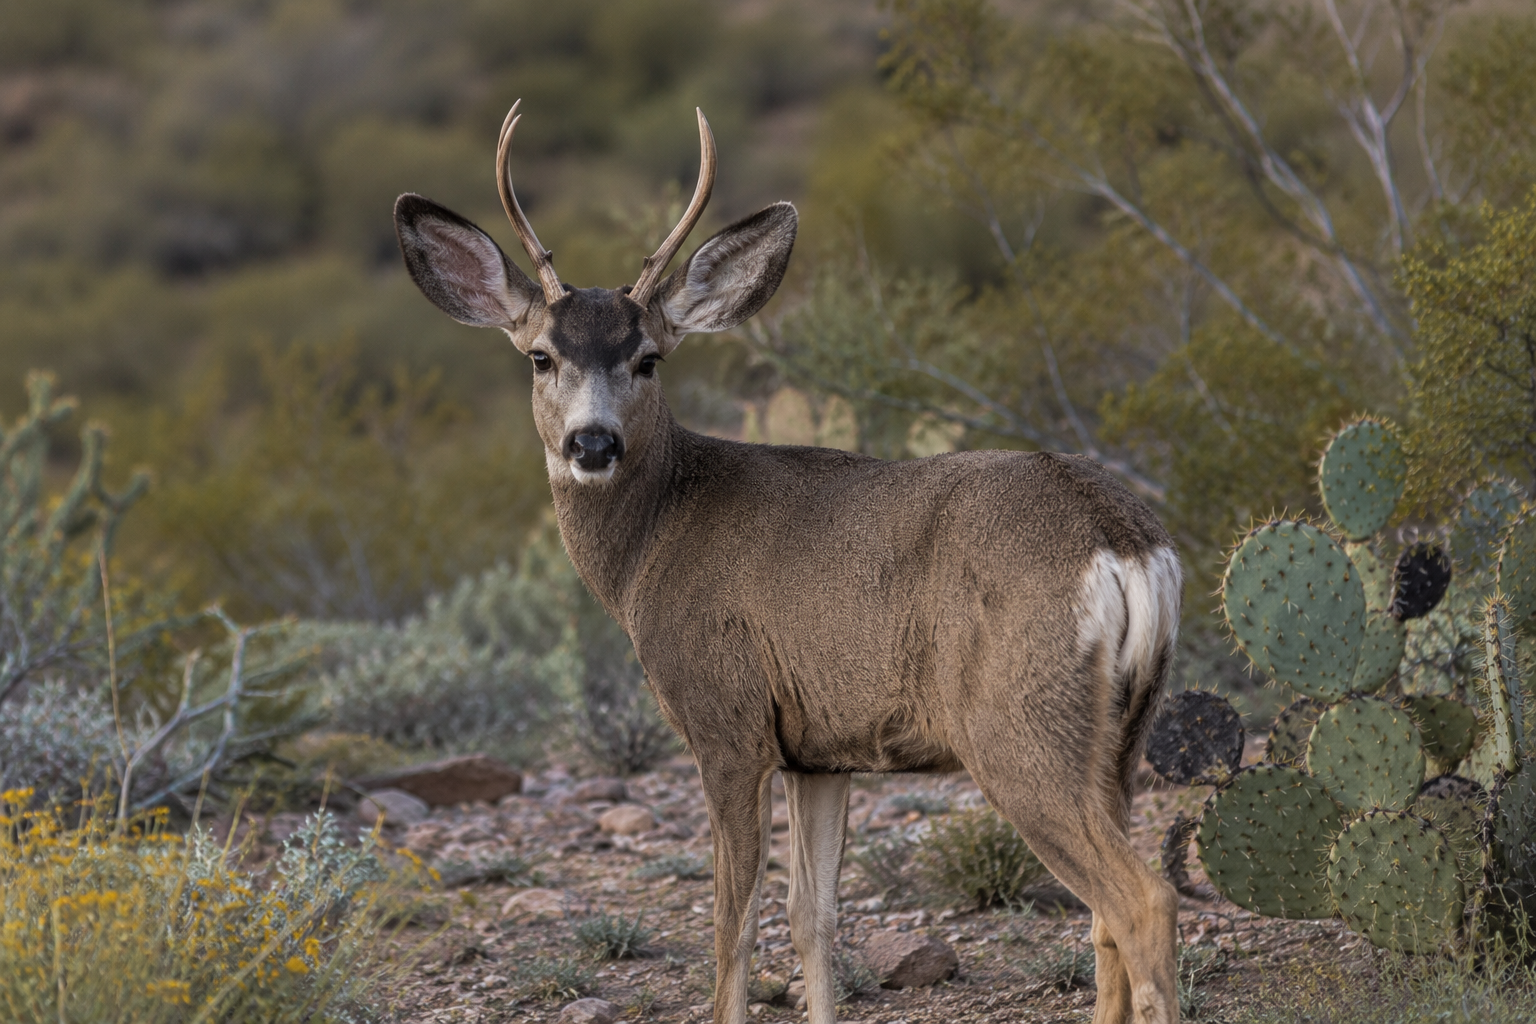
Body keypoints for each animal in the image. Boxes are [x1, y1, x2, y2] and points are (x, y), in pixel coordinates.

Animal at [393, 102, 1185, 1024]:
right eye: (540, 356)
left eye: (648, 358)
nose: (592, 443)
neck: (653, 542)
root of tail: (1123, 541)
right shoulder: (823, 748)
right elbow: (814, 917)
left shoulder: (726, 720)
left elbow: (732, 926)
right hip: (1120, 735)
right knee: (1105, 911)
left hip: (1018, 720)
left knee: (1141, 899)